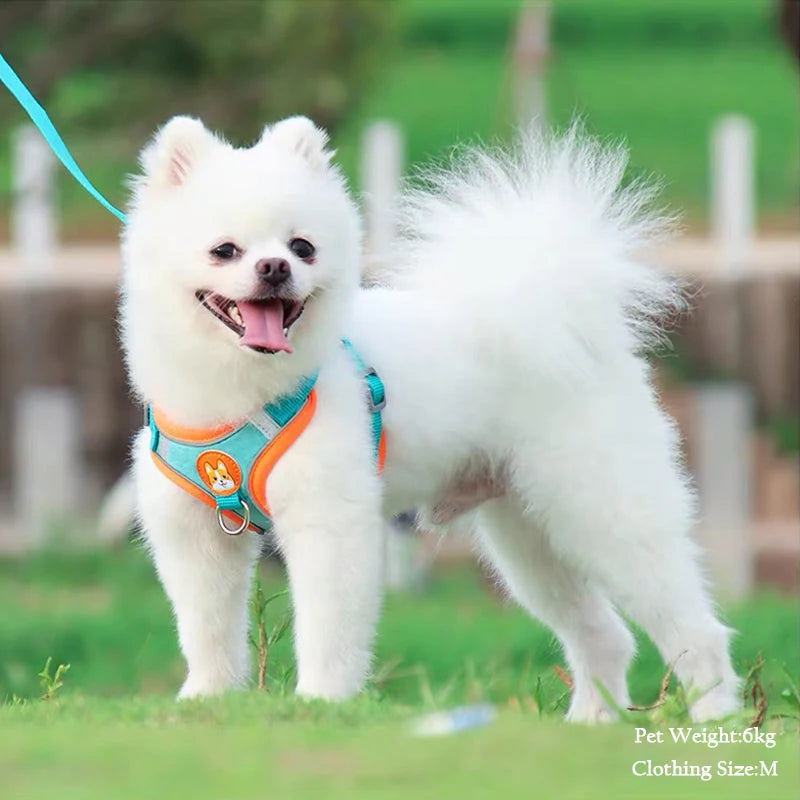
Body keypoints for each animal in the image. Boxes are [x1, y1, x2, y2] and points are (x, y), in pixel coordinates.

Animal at [122, 115, 740, 720]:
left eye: (303, 247)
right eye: (224, 250)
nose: (274, 267)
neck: (240, 394)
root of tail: (553, 310)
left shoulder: (330, 521)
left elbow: (327, 629)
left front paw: (322, 701)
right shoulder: (194, 533)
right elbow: (206, 628)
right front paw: (207, 698)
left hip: (603, 514)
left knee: (696, 632)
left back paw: (716, 718)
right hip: (530, 540)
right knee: (606, 637)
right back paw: (588, 723)